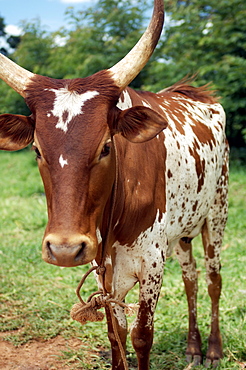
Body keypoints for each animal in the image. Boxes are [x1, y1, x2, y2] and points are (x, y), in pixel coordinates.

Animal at [0, 1, 229, 368]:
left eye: (106, 147)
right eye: (36, 149)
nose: (64, 250)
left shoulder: (151, 262)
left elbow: (141, 335)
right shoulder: (103, 266)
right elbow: (115, 333)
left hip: (216, 215)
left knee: (212, 279)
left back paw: (211, 349)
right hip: (181, 232)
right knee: (191, 278)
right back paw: (193, 347)